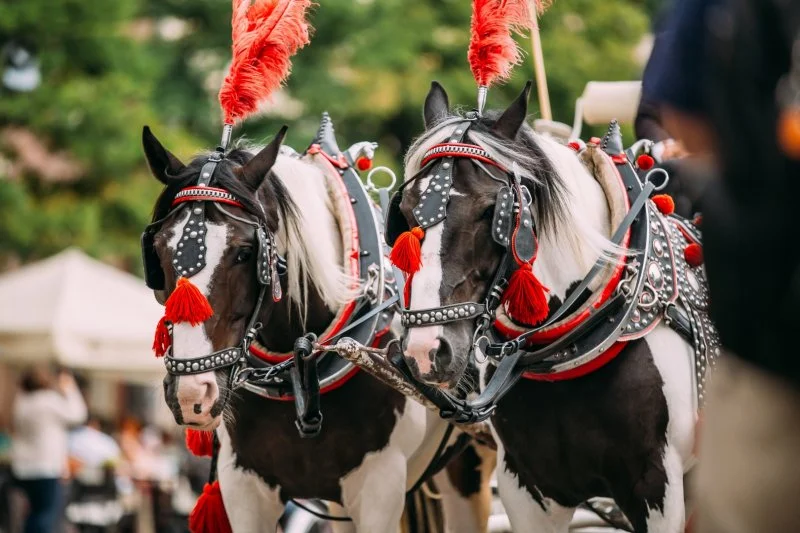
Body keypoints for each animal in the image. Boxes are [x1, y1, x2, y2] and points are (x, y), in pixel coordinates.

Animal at [141, 122, 496, 528]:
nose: (191, 393)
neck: (303, 365)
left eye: (245, 252)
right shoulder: (245, 488)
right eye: (159, 251)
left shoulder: (380, 488)